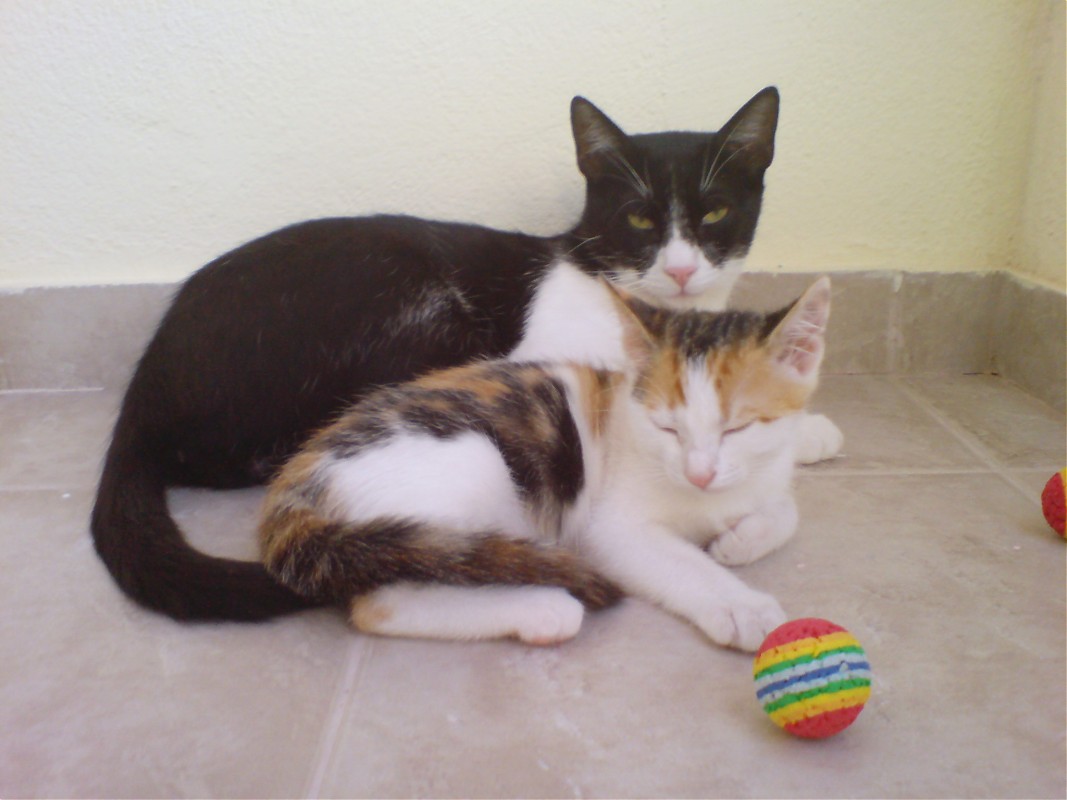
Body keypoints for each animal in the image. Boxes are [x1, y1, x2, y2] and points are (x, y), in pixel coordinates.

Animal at [258, 278, 831, 651]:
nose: (700, 474)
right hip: (475, 463)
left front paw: (740, 539)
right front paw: (741, 605)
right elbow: (682, 562)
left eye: (738, 428)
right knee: (387, 601)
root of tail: (295, 483)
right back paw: (542, 608)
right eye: (666, 426)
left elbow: (787, 509)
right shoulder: (610, 528)